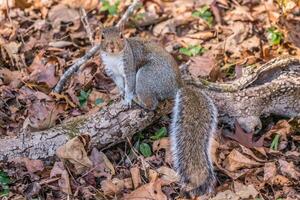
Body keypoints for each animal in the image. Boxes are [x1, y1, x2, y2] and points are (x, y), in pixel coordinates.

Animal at [99, 25, 217, 196]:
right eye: (101, 37)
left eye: (121, 35)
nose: (112, 46)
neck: (114, 57)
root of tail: (176, 86)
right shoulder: (113, 73)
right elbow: (121, 85)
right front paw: (119, 94)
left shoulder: (129, 67)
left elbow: (129, 85)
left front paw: (127, 98)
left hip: (146, 77)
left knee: (151, 104)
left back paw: (138, 100)